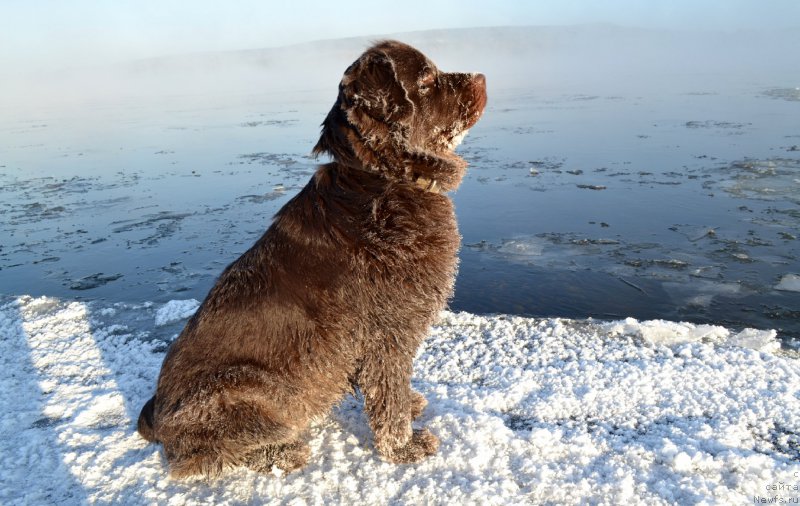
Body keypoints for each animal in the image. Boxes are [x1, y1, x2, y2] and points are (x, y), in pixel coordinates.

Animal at [138, 40, 488, 478]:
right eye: (426, 80)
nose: (481, 77)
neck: (385, 180)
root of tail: (156, 416)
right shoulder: (386, 334)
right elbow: (387, 395)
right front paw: (405, 447)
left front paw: (411, 407)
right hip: (246, 390)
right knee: (197, 460)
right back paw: (282, 453)